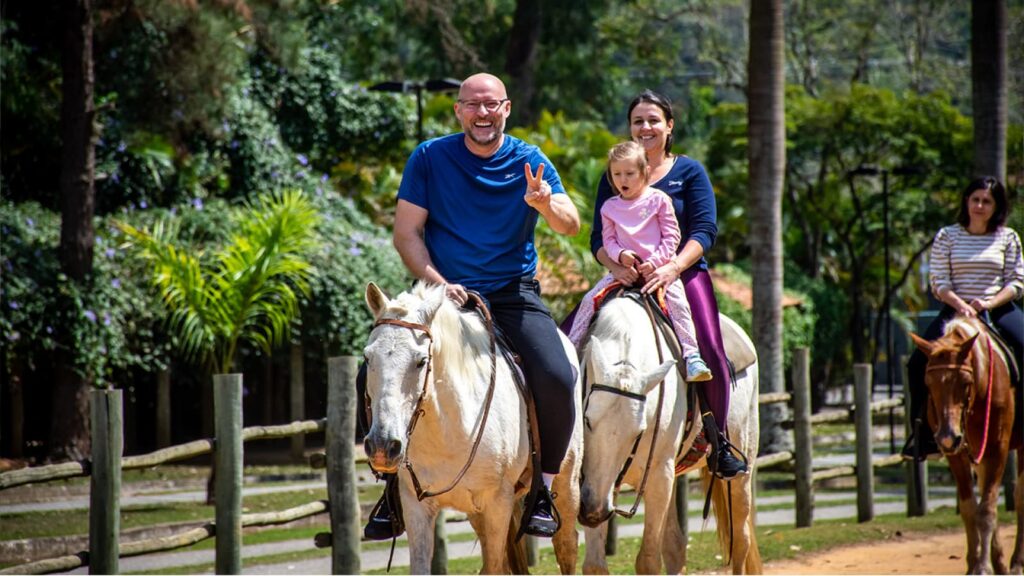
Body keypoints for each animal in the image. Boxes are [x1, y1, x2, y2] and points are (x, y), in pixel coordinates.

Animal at [364, 280, 581, 569]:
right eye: (368, 358)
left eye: (421, 361)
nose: (382, 446)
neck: (449, 431)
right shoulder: (416, 507)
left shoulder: (497, 504)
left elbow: (495, 566)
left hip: (566, 484)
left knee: (566, 545)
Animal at [577, 293, 761, 569]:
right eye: (587, 421)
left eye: (639, 431)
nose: (593, 512)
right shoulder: (595, 483)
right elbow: (594, 564)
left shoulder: (658, 478)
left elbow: (648, 560)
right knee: (676, 545)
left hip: (740, 474)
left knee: (740, 542)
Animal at [917, 315, 1019, 569]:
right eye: (928, 383)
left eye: (965, 382)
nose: (947, 436)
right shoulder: (957, 454)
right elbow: (969, 509)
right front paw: (975, 564)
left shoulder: (997, 449)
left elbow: (987, 510)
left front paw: (982, 567)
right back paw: (1000, 561)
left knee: (1019, 496)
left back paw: (1015, 563)